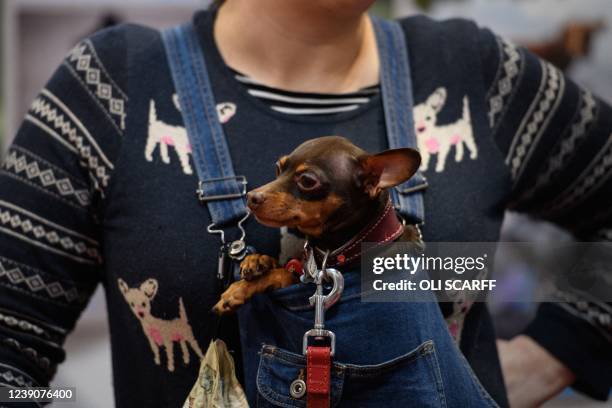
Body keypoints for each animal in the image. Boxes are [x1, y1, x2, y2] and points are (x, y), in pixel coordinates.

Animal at [214, 136, 420, 312]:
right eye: (278, 169)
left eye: (307, 181)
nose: (251, 197)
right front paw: (258, 260)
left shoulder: (294, 280)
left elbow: (283, 274)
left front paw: (239, 289)